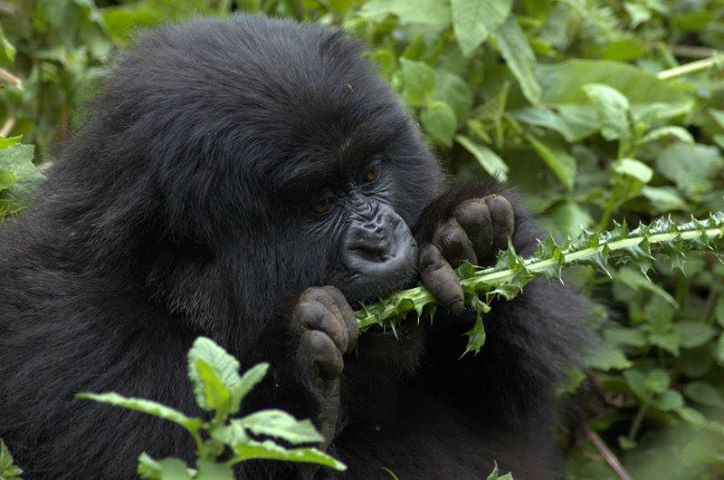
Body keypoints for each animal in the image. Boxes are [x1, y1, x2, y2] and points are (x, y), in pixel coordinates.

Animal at [0, 15, 588, 480]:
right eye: (321, 205)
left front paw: (471, 238)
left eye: (370, 174)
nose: (381, 241)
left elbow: (513, 399)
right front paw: (299, 366)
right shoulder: (69, 338)